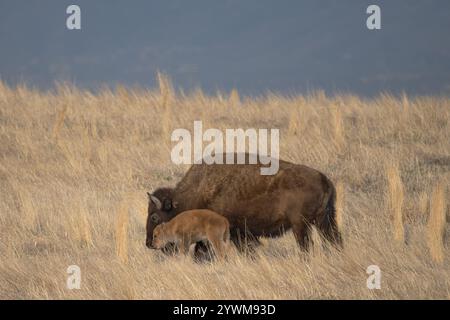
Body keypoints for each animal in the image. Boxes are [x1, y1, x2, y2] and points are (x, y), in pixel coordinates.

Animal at [147, 153, 342, 258]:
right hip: (324, 221)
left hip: (301, 225)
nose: (149, 243)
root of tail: (323, 179)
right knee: (334, 240)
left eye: (155, 216)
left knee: (306, 246)